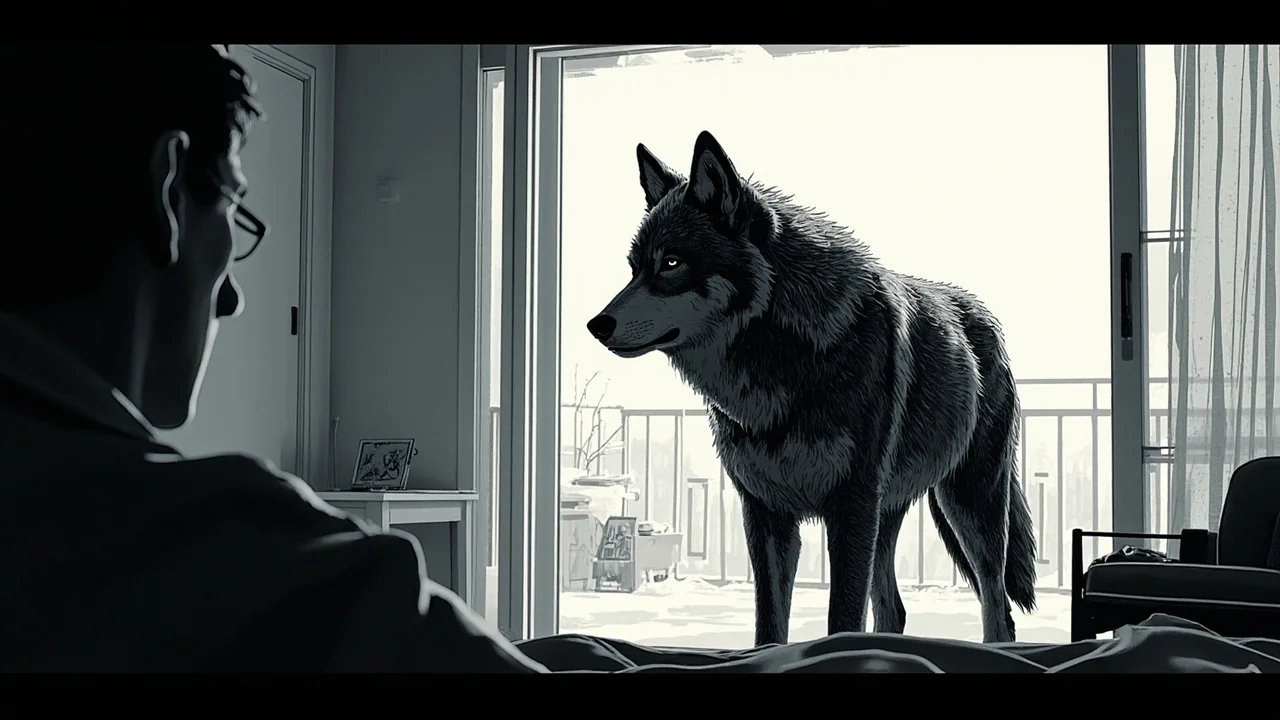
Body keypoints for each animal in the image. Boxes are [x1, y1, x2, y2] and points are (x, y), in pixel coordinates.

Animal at [586, 131, 1037, 646]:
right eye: (634, 268)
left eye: (671, 263)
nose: (596, 325)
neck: (781, 360)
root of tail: (985, 318)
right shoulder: (766, 514)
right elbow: (769, 623)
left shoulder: (850, 507)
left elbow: (841, 617)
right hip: (889, 514)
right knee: (895, 608)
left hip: (969, 503)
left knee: (997, 604)